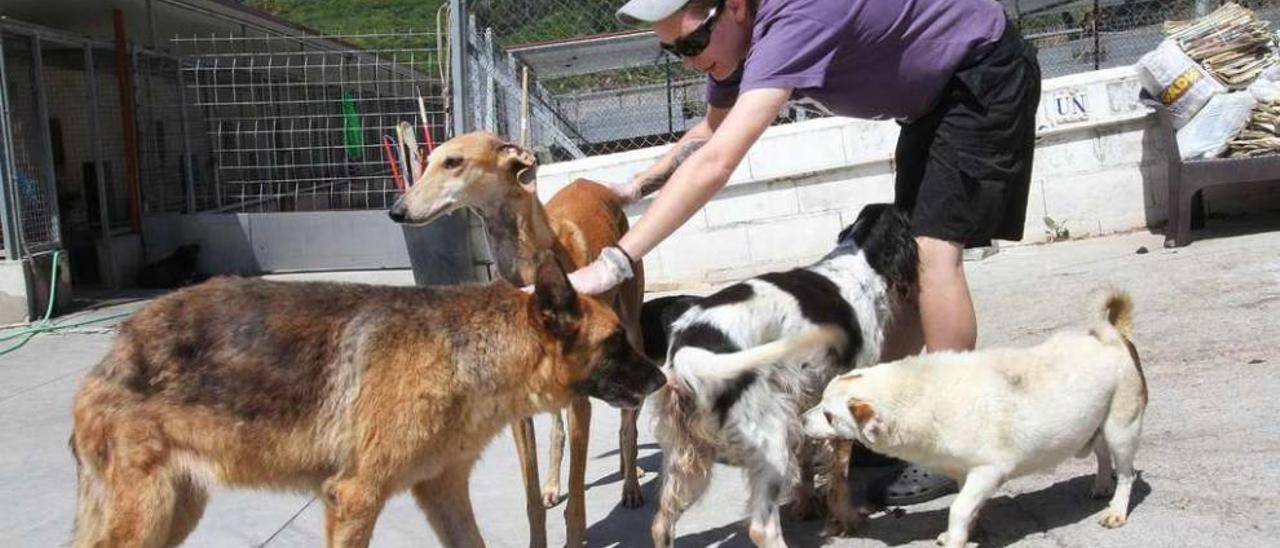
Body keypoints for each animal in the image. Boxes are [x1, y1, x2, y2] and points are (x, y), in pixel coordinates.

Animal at [70, 257, 665, 548]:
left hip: (176, 511)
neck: (462, 352)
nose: (661, 377)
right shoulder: (354, 499)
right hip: (148, 516)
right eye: (617, 343)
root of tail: (112, 353)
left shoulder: (443, 493)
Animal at [386, 132, 650, 548]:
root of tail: (595, 185)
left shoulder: (580, 404)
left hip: (633, 329)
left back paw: (631, 481)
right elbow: (532, 500)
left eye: (453, 162)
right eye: (426, 164)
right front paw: (544, 501)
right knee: (558, 431)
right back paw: (556, 483)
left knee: (629, 424)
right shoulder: (517, 411)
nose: (396, 211)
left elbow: (578, 501)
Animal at [803, 286, 1146, 548]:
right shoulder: (962, 472)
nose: (803, 420)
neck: (920, 395)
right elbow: (968, 507)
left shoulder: (988, 471)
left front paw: (956, 538)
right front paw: (969, 531)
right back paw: (1102, 485)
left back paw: (1116, 508)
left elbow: (958, 508)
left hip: (1122, 428)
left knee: (1126, 473)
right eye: (820, 402)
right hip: (1098, 423)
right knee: (1102, 453)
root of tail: (1113, 337)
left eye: (830, 416)